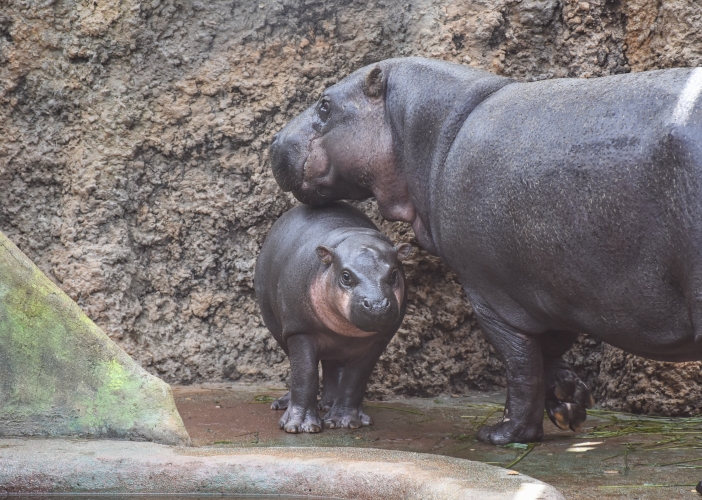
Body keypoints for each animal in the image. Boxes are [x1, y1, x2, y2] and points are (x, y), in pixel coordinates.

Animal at [258, 201, 412, 432]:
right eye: (346, 276)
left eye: (394, 273)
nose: (377, 305)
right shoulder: (299, 330)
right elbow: (305, 373)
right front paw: (298, 426)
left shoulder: (379, 339)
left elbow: (355, 378)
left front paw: (344, 421)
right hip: (277, 326)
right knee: (298, 363)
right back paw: (282, 405)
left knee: (333, 366)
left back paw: (331, 406)